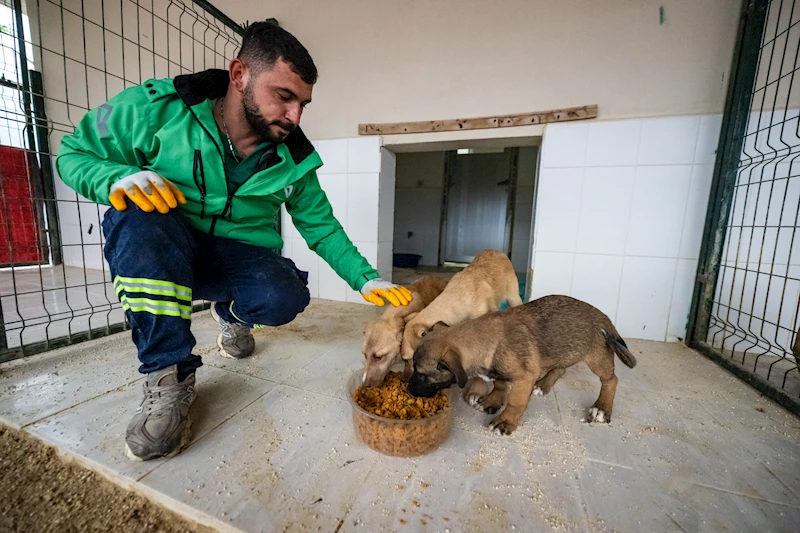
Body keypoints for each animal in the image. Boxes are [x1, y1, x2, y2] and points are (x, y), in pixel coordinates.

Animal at [410, 294, 636, 434]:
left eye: (421, 374)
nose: (409, 389)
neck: (487, 340)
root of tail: (604, 317)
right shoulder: (502, 371)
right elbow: (500, 384)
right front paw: (493, 400)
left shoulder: (525, 376)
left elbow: (515, 402)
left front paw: (505, 421)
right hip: (562, 349)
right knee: (560, 368)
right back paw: (543, 385)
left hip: (596, 357)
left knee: (611, 380)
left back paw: (602, 408)